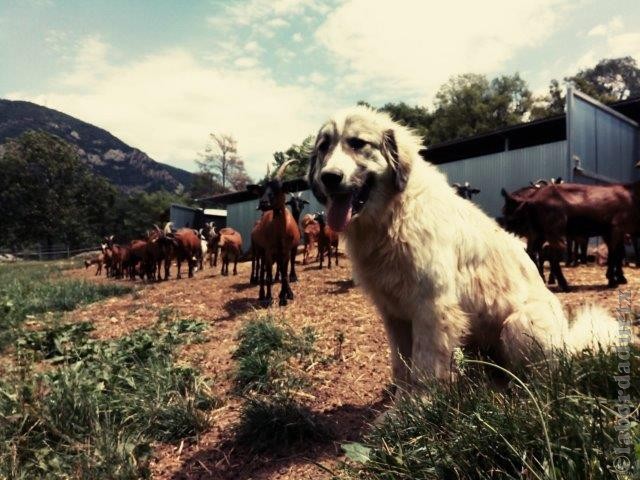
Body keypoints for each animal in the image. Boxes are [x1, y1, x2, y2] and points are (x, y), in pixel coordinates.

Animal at [308, 106, 616, 390]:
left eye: (358, 143)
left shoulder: (431, 308)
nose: (329, 177)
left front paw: (418, 408)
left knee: (545, 379)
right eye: (324, 147)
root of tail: (569, 344)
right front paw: (399, 407)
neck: (392, 215)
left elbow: (424, 372)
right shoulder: (394, 314)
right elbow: (401, 366)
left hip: (518, 324)